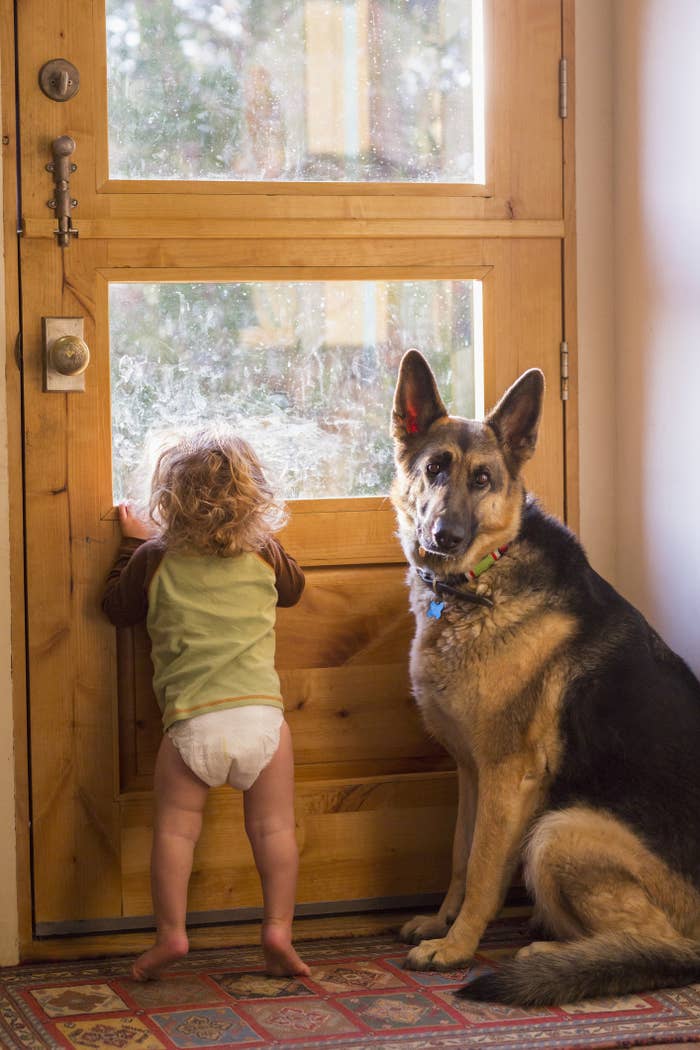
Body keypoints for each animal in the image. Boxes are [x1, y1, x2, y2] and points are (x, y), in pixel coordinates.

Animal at [388, 350, 700, 999]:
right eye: (433, 469)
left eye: (483, 479)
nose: (445, 538)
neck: (481, 579)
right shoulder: (471, 772)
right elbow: (460, 855)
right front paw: (442, 921)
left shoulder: (509, 778)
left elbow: (484, 869)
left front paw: (457, 947)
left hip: (560, 831)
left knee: (668, 946)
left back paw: (554, 955)